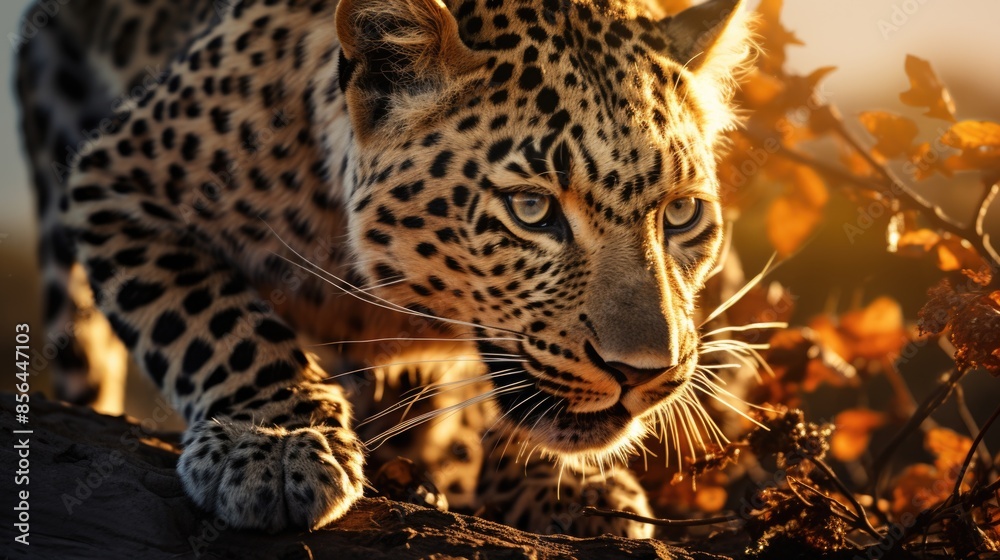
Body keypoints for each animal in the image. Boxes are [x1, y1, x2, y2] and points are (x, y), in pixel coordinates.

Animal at [15, 0, 753, 539]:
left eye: (683, 214)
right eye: (532, 209)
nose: (642, 372)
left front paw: (571, 486)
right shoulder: (116, 178)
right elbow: (219, 323)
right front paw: (276, 443)